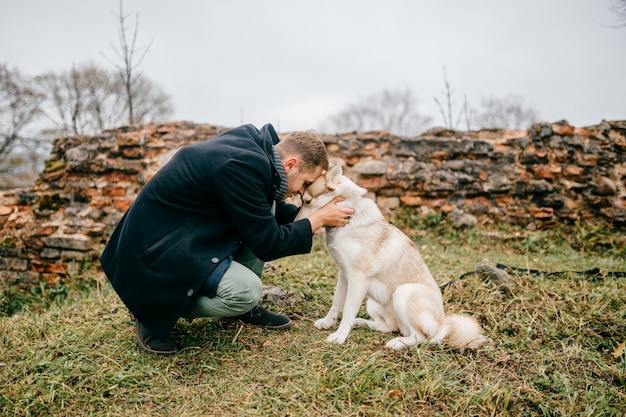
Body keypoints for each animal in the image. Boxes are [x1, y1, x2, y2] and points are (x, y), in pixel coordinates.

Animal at [298, 164, 488, 350]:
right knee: (388, 327)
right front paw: (328, 323)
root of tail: (441, 322)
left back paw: (397, 343)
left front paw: (340, 336)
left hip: (403, 292)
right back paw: (363, 323)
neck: (350, 216)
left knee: (420, 337)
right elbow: (337, 303)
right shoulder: (344, 276)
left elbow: (347, 310)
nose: (295, 221)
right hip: (373, 303)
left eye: (307, 201)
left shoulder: (357, 279)